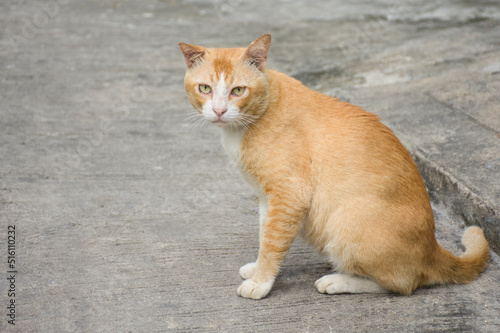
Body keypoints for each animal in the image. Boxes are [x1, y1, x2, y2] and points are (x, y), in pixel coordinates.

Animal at [179, 33, 488, 298]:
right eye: (205, 89)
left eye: (238, 90)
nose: (219, 111)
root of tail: (432, 249)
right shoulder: (268, 198)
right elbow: (265, 234)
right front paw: (257, 269)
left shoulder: (289, 195)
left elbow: (272, 242)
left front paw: (261, 282)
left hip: (346, 221)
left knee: (402, 283)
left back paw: (339, 280)